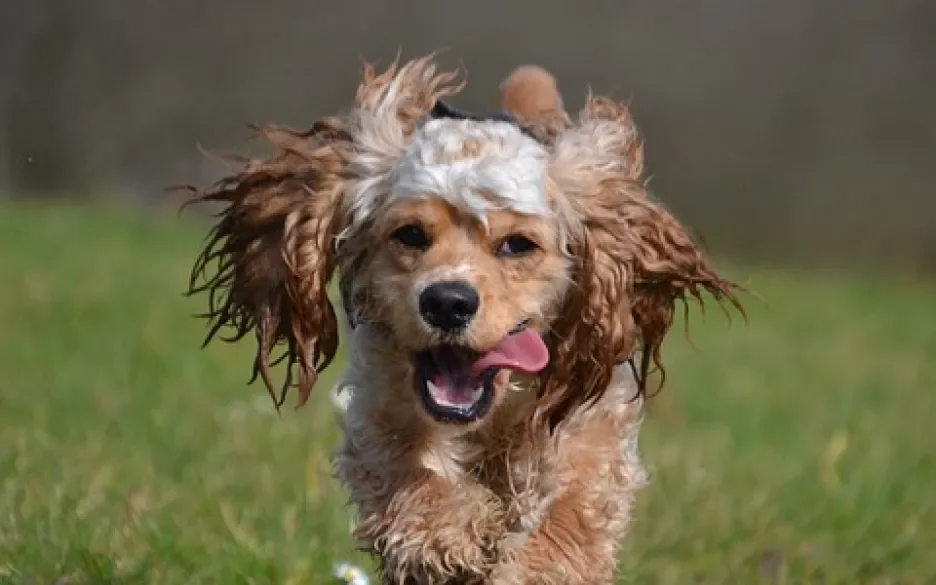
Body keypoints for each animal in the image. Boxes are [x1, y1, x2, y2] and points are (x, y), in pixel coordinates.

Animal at [185, 56, 740, 584]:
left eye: (518, 244)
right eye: (409, 234)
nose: (448, 302)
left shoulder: (594, 425)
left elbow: (570, 511)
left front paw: (536, 565)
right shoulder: (380, 406)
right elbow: (406, 467)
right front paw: (442, 533)